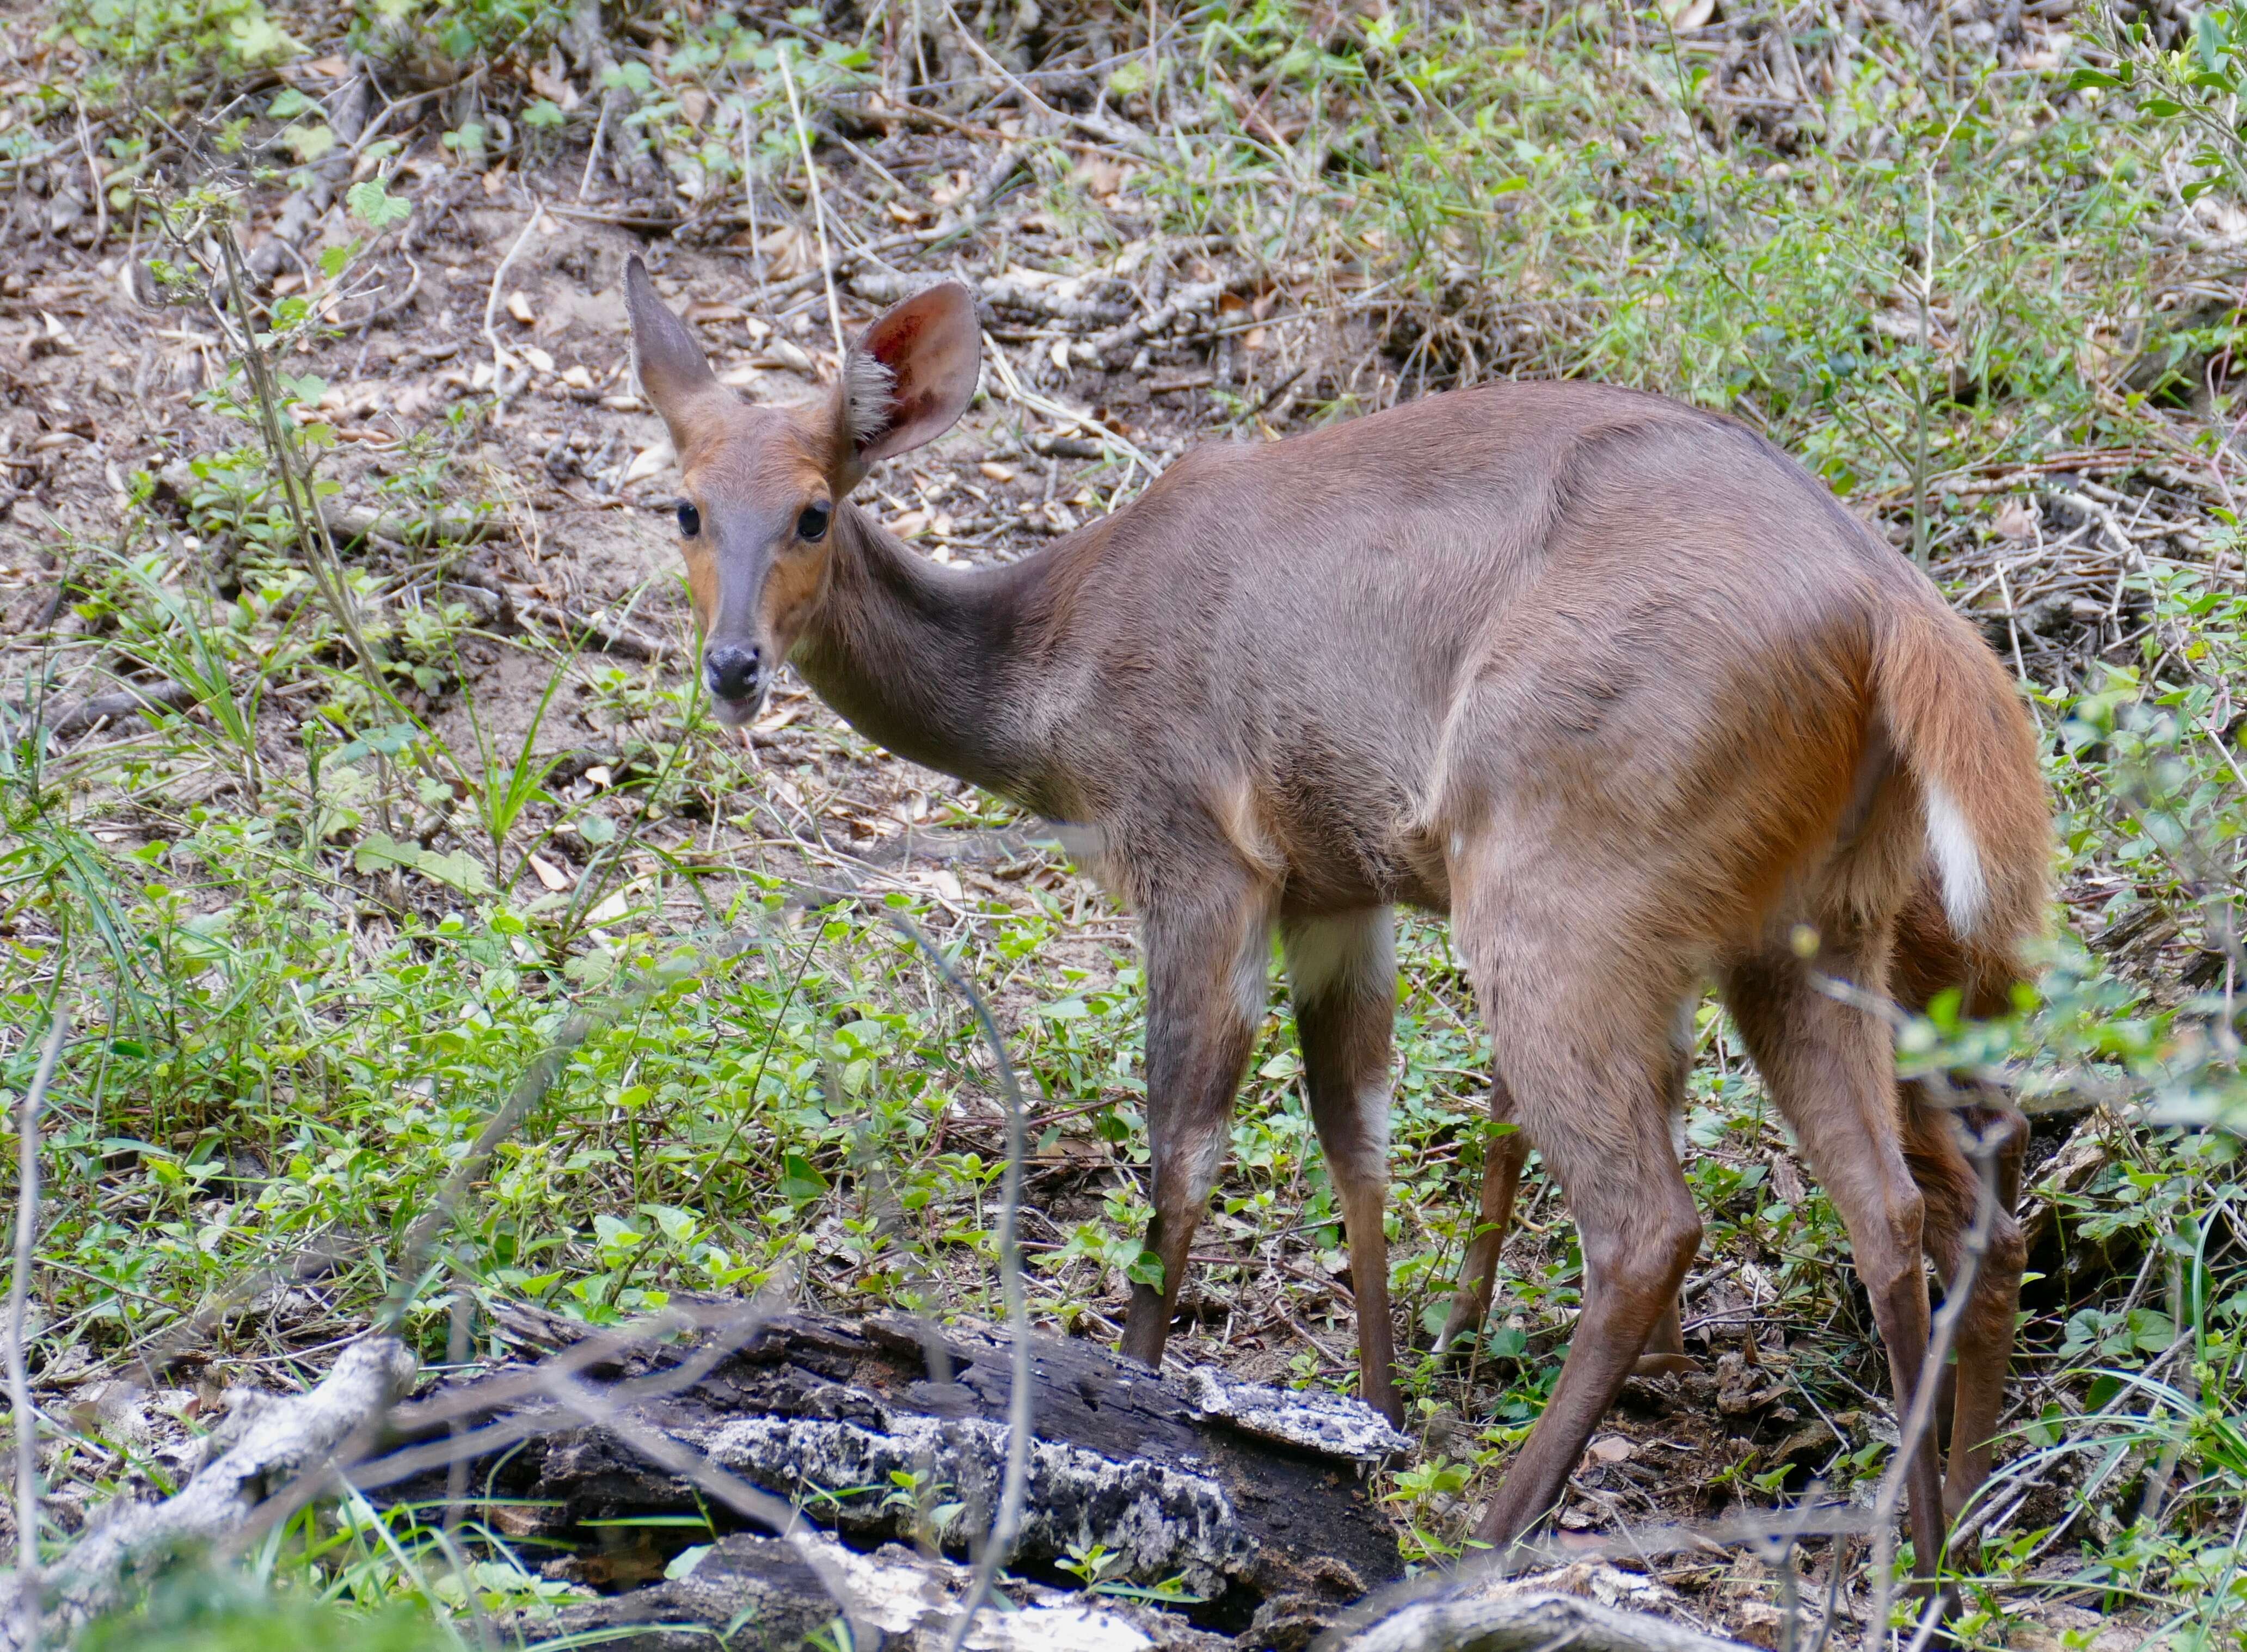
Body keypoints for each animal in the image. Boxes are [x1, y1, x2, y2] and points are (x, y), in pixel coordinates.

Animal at [624, 258, 2049, 1564]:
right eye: (684, 505)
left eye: (813, 511)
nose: (734, 666)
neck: (1052, 673)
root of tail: (1895, 614)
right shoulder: (1334, 883)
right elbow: (1353, 1130)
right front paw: (1376, 1412)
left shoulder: (1196, 846)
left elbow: (1182, 1143)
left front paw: (1144, 1393)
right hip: (1812, 927)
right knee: (1905, 1202)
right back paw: (1932, 1545)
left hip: (1564, 886)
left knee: (1655, 1219)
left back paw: (1495, 1533)